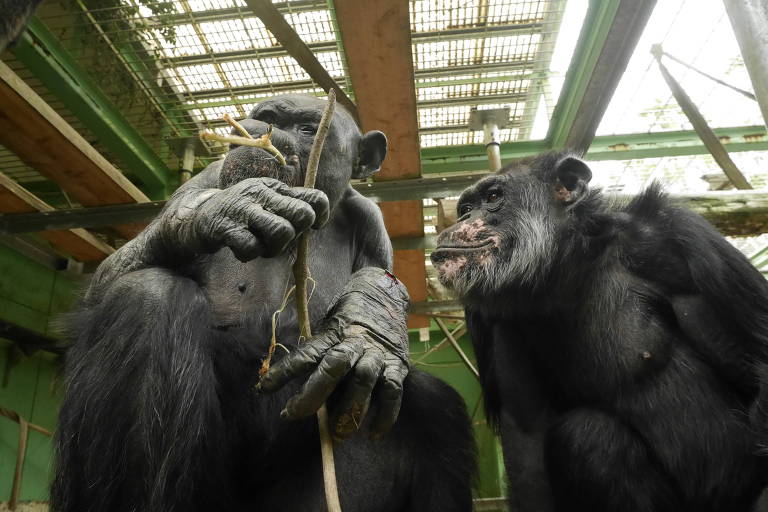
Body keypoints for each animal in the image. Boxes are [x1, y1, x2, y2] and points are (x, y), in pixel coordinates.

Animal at [52, 95, 474, 508]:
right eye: (267, 117)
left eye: (307, 129)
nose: (263, 132)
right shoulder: (207, 177)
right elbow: (106, 278)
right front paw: (232, 206)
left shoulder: (371, 219)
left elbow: (379, 276)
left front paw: (369, 327)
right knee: (145, 297)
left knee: (435, 405)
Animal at [432, 151, 768, 512]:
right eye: (465, 208)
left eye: (493, 197)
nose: (461, 221)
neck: (564, 268)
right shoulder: (490, 321)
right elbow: (527, 441)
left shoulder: (678, 234)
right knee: (590, 435)